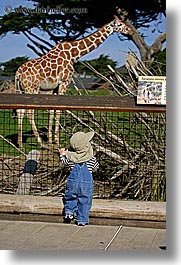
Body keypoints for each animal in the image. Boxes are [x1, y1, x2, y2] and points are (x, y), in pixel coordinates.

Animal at [14, 16, 133, 148]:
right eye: (119, 24)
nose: (131, 31)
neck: (73, 54)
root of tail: (18, 73)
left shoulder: (55, 87)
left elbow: (52, 110)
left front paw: (50, 140)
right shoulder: (64, 82)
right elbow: (59, 110)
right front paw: (57, 141)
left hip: (21, 90)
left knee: (20, 111)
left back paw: (20, 144)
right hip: (32, 89)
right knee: (29, 112)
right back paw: (39, 143)